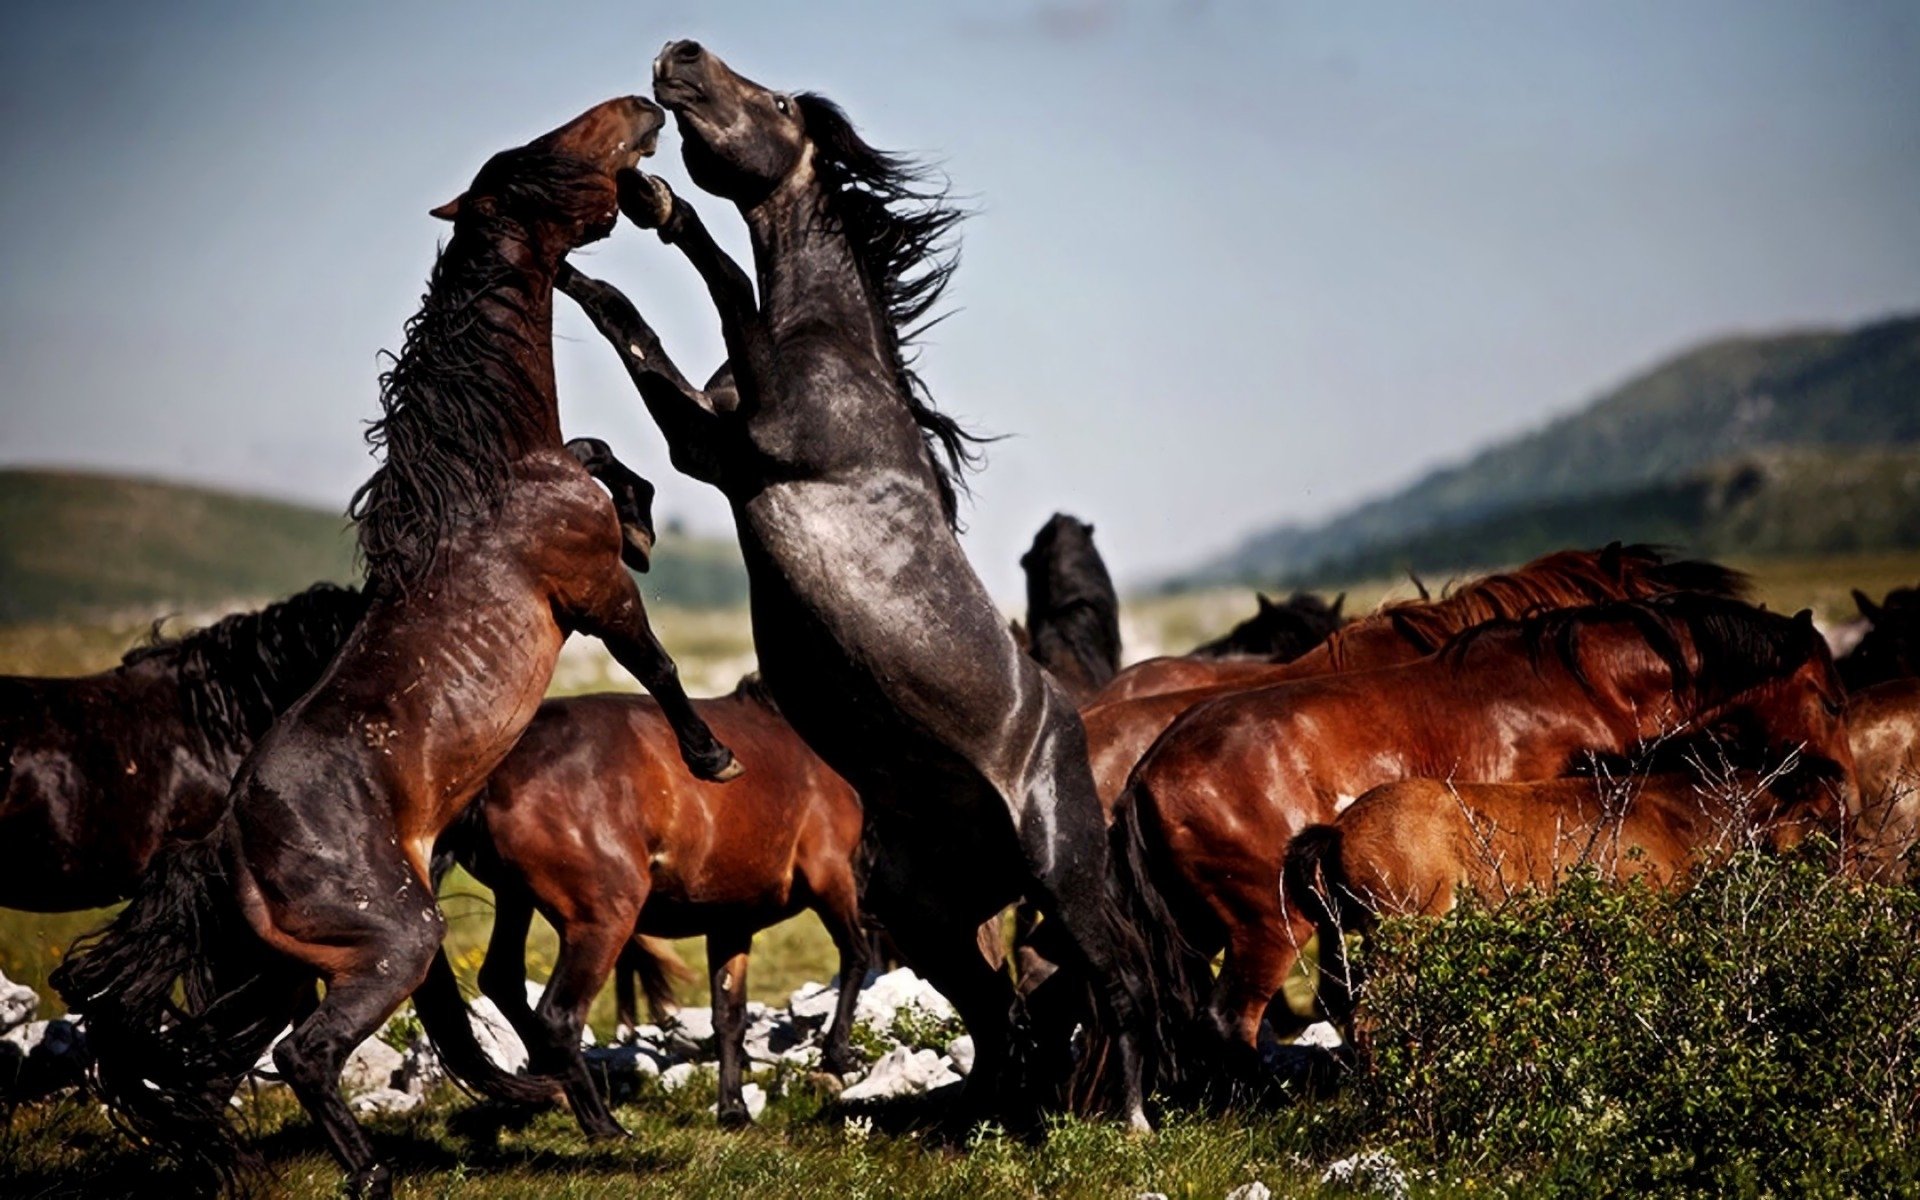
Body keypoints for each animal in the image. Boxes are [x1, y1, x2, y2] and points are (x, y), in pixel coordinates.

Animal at [56, 98, 737, 1190]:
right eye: (544, 155)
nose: (641, 112)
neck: (492, 479)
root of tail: (223, 842)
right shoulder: (590, 591)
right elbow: (660, 660)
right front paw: (713, 756)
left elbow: (600, 452)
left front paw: (639, 509)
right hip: (393, 943)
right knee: (305, 1054)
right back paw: (374, 1172)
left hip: (278, 969)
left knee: (210, 1063)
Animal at [439, 675, 867, 1128]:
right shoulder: (830, 872)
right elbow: (855, 955)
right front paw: (837, 1057)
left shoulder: (731, 921)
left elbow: (729, 1017)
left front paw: (734, 1110)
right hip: (602, 922)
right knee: (558, 1016)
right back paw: (604, 1126)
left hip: (515, 898)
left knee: (502, 980)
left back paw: (552, 1090)